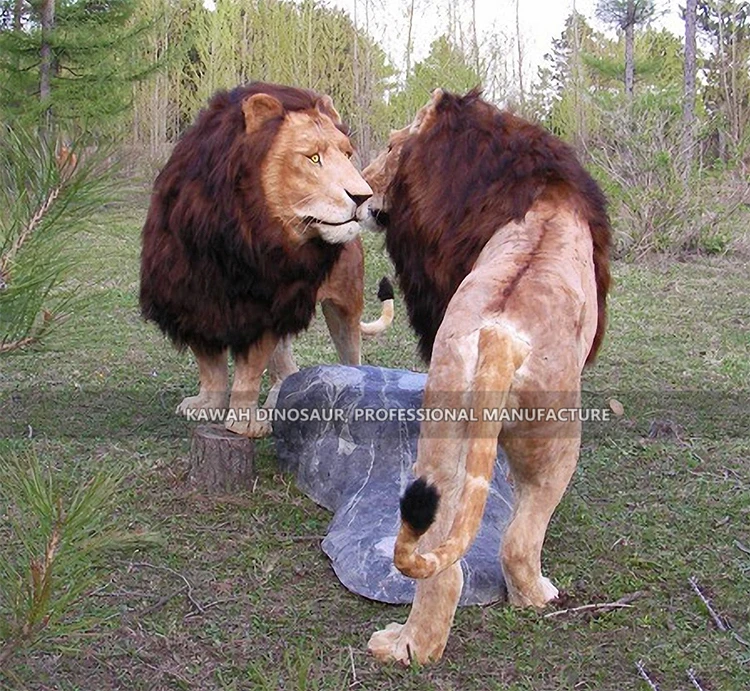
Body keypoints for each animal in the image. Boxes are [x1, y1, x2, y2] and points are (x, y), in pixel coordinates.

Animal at [140, 82, 389, 437]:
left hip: (343, 303)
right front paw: (206, 405)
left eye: (347, 155)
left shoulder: (264, 309)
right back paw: (278, 399)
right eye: (313, 157)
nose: (363, 196)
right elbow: (210, 367)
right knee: (285, 362)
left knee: (350, 353)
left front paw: (243, 424)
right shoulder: (194, 304)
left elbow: (248, 372)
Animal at [359, 88, 612, 664]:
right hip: (557, 441)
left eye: (392, 145)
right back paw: (538, 597)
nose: (359, 187)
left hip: (440, 441)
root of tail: (500, 336)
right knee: (518, 541)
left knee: (441, 566)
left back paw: (406, 647)